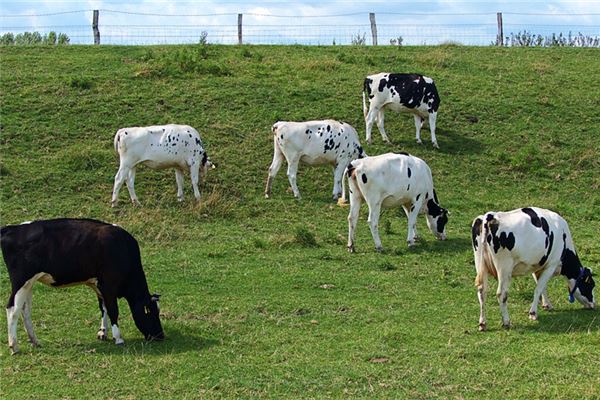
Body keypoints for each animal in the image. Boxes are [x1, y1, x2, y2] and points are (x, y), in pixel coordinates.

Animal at [0, 219, 164, 354]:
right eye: (149, 311)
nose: (160, 335)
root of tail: (11, 228)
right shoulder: (109, 285)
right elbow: (113, 310)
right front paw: (118, 338)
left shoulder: (98, 285)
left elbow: (103, 308)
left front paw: (103, 332)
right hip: (20, 281)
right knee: (12, 309)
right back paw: (14, 346)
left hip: (29, 283)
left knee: (25, 310)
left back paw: (35, 341)